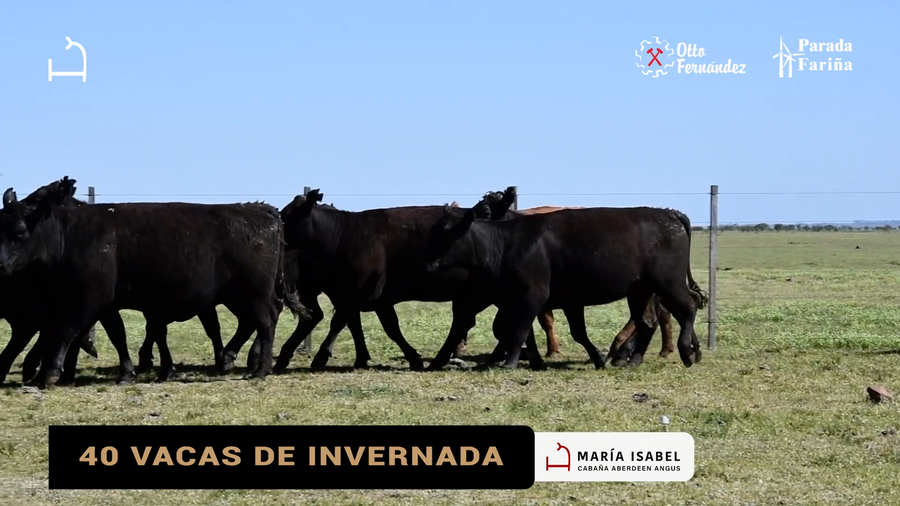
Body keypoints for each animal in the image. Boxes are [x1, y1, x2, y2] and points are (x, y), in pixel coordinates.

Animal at [0, 186, 302, 388]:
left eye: (20, 232)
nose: (1, 264)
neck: (72, 235)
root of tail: (259, 210)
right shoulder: (108, 304)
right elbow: (117, 334)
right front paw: (127, 372)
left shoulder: (87, 298)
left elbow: (64, 330)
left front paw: (49, 372)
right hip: (238, 296)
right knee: (252, 322)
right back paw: (233, 358)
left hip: (254, 291)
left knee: (266, 320)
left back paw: (260, 369)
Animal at [422, 200, 708, 371]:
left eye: (446, 232)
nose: (428, 263)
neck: (506, 242)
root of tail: (668, 213)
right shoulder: (564, 301)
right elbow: (572, 332)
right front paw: (597, 359)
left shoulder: (531, 297)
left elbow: (517, 330)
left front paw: (510, 362)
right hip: (641, 290)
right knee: (647, 322)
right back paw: (633, 360)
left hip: (668, 282)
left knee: (687, 308)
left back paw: (685, 351)